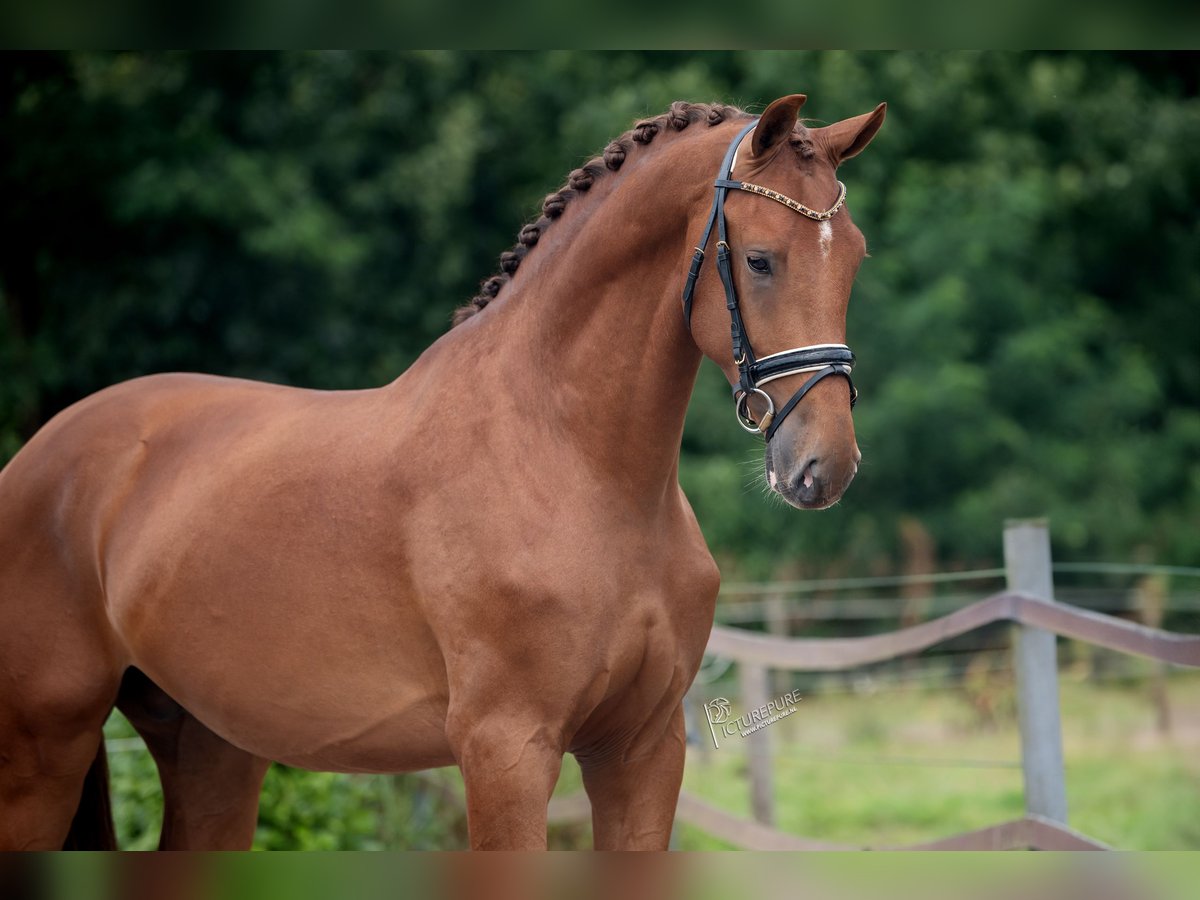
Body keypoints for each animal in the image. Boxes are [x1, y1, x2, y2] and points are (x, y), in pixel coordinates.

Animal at [0, 93, 883, 854]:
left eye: (856, 260)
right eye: (761, 261)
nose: (824, 466)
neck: (575, 467)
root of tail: (40, 459)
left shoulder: (643, 748)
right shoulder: (507, 749)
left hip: (211, 746)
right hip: (43, 749)